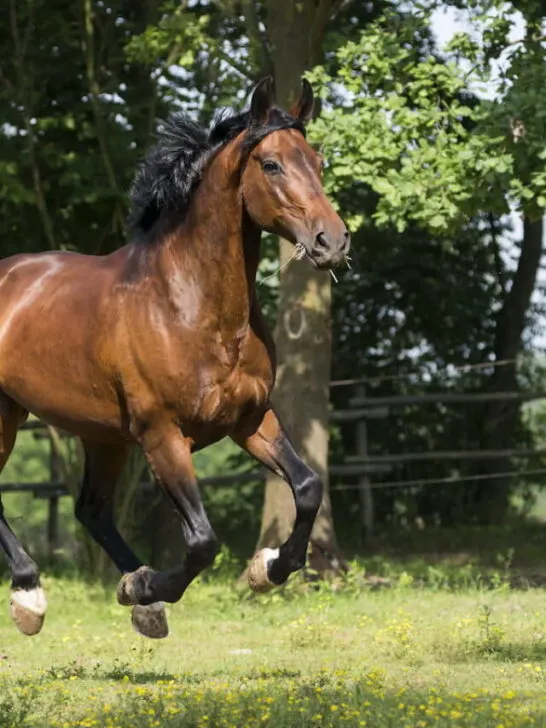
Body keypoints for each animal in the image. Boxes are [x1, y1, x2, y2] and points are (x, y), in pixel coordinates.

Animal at [0, 77, 349, 639]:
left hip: (101, 435)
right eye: (271, 164)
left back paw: (139, 598)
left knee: (92, 509)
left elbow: (308, 486)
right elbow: (202, 541)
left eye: (317, 161)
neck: (188, 303)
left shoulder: (251, 419)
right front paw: (148, 586)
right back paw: (31, 596)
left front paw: (268, 569)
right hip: (10, 416)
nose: (332, 241)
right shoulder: (163, 436)